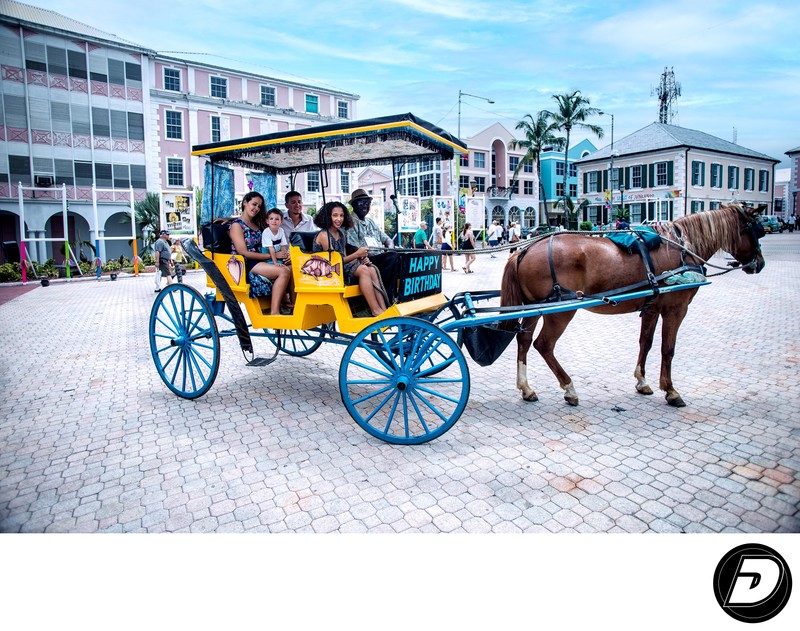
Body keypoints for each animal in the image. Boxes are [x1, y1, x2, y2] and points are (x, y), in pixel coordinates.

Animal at [504, 205, 764, 408]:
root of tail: (524, 250)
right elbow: (668, 349)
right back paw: (569, 388)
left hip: (535, 308)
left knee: (524, 340)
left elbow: (645, 343)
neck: (682, 249)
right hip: (561, 312)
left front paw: (642, 381)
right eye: (756, 231)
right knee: (544, 345)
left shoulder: (652, 308)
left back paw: (526, 388)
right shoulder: (676, 308)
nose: (759, 264)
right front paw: (671, 391)